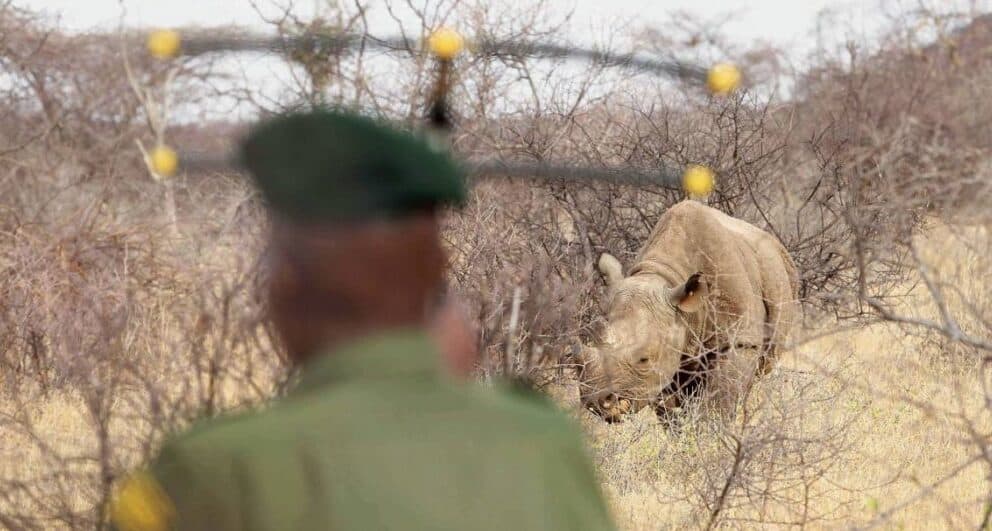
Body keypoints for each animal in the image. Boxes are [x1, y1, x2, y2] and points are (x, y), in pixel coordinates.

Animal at [578, 200, 799, 423]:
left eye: (644, 360)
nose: (596, 401)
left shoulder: (740, 341)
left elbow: (719, 403)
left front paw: (710, 431)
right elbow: (670, 412)